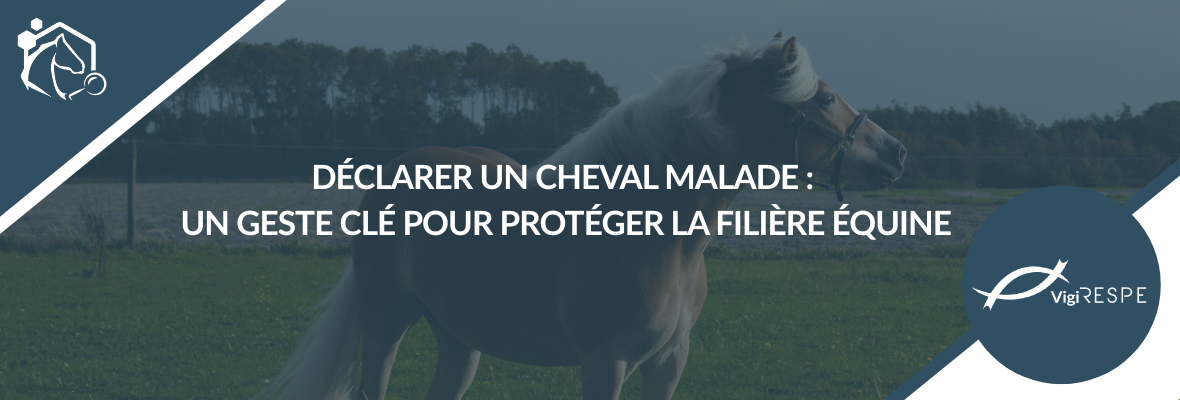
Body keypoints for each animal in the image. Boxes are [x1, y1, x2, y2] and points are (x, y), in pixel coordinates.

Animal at [259, 33, 907, 400]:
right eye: (824, 98)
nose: (896, 152)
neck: (654, 230)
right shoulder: (604, 364)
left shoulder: (667, 364)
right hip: (386, 325)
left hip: (459, 338)